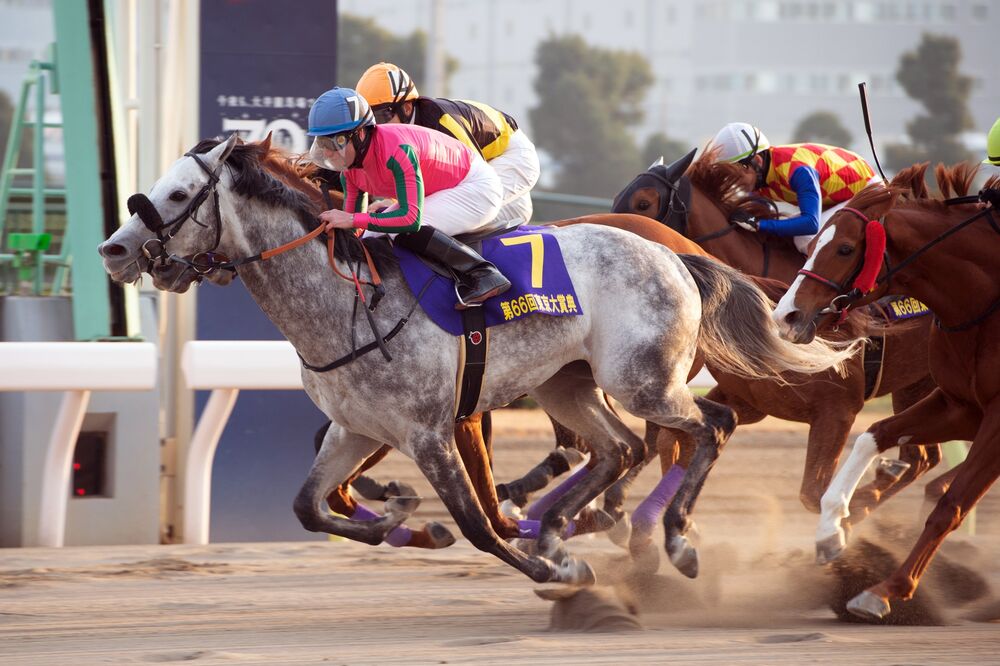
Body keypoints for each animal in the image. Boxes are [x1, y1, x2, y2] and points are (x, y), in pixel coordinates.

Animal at [97, 135, 856, 580]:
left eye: (173, 194)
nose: (114, 248)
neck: (349, 299)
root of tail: (675, 253)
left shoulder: (430, 430)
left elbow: (477, 523)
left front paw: (545, 569)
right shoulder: (356, 429)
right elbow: (309, 507)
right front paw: (407, 520)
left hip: (643, 381)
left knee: (707, 428)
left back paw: (670, 541)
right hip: (567, 385)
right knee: (620, 449)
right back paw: (558, 527)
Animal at [772, 163, 1000, 620]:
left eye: (845, 249)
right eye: (813, 244)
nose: (785, 315)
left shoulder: (997, 417)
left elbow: (951, 505)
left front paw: (883, 589)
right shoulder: (962, 405)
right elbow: (873, 435)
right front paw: (832, 531)